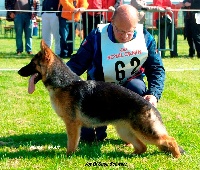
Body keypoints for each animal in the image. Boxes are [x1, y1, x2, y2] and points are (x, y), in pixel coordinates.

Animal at [18, 40, 184, 158]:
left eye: (32, 64)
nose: (19, 72)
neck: (64, 84)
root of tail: (150, 106)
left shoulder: (72, 124)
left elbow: (71, 143)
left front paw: (68, 156)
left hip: (146, 131)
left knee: (170, 140)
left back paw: (176, 157)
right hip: (125, 131)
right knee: (143, 147)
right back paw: (128, 154)